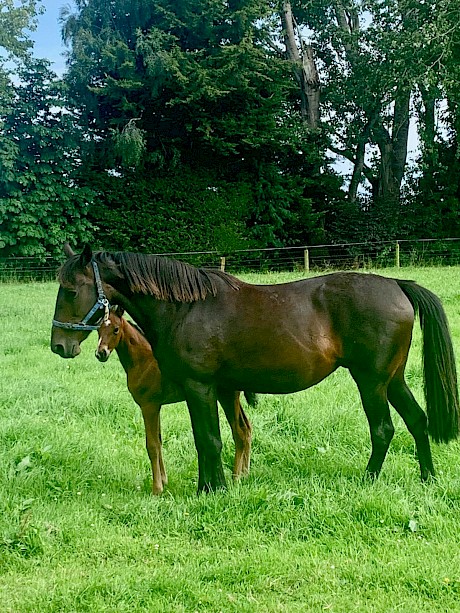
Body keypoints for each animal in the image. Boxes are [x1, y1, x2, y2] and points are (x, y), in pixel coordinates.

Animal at [94, 306, 252, 492]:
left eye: (116, 329)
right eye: (98, 329)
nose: (101, 353)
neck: (143, 361)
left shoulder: (149, 406)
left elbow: (152, 445)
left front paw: (157, 489)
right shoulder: (157, 406)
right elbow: (159, 441)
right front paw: (164, 481)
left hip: (228, 396)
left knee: (240, 432)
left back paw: (236, 479)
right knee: (246, 429)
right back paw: (245, 475)